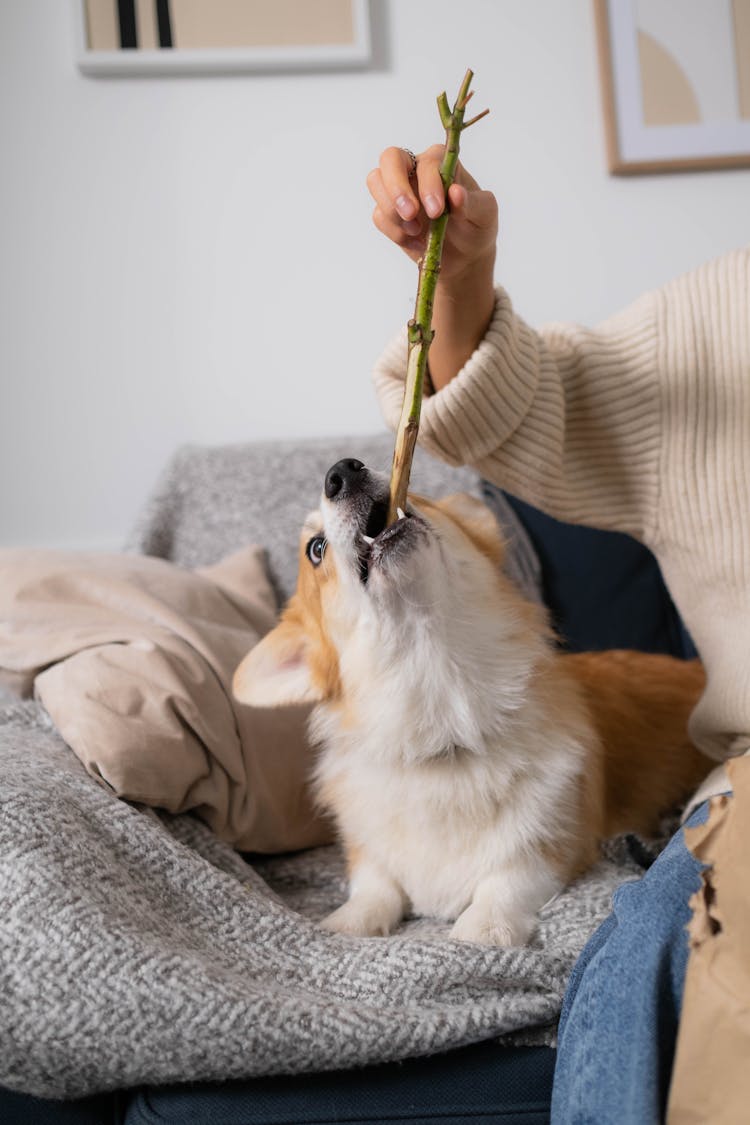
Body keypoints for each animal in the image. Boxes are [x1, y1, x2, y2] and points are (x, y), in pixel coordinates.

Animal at [235, 461, 710, 945]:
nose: (342, 471)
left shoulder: (558, 843)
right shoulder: (369, 854)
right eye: (316, 549)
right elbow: (374, 885)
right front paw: (348, 922)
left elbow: (509, 878)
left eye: (416, 495)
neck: (445, 709)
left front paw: (485, 927)